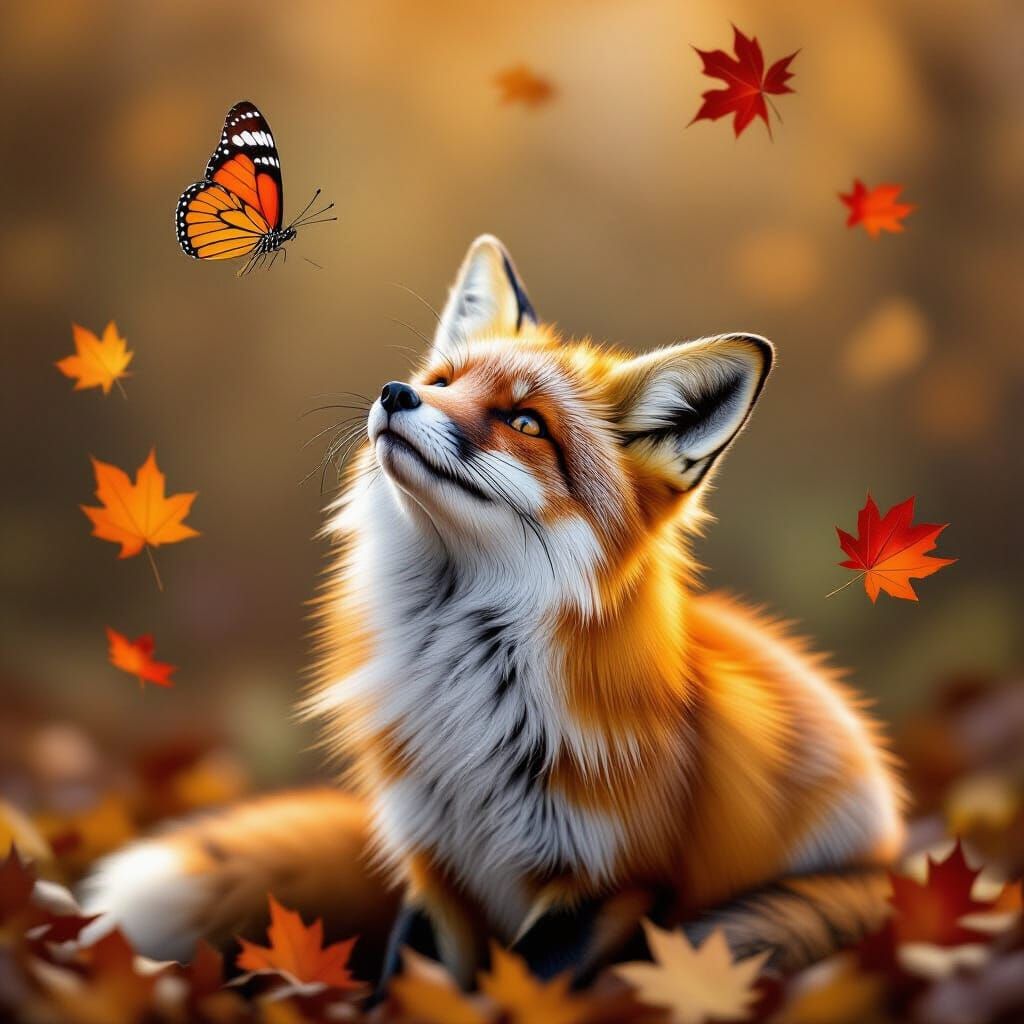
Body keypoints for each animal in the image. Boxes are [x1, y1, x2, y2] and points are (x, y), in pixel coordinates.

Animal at [81, 235, 905, 987]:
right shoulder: (434, 867)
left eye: (526, 423)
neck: (470, 703)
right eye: (441, 380)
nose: (396, 393)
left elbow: (515, 995)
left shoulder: (611, 887)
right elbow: (406, 989)